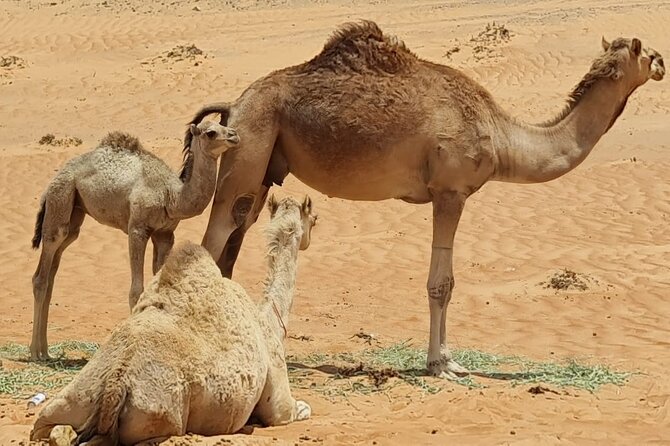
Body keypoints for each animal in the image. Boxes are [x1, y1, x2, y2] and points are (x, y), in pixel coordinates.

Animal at [30, 121, 239, 361]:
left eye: (223, 125)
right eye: (210, 133)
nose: (234, 135)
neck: (172, 196)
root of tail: (50, 183)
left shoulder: (165, 235)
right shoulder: (137, 228)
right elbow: (136, 290)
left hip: (74, 214)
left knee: (53, 270)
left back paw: (46, 351)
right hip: (60, 198)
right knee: (42, 273)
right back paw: (36, 353)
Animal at [30, 195, 317, 445]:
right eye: (312, 218)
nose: (315, 222)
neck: (268, 321)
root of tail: (115, 384)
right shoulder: (279, 402)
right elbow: (300, 409)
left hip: (68, 401)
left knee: (52, 428)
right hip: (159, 419)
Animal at [186, 21, 665, 378]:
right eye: (643, 51)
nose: (662, 63)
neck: (503, 136)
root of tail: (234, 104)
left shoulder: (448, 193)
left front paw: (448, 359)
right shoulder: (450, 192)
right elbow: (442, 283)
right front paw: (441, 364)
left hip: (263, 169)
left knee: (234, 238)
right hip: (249, 147)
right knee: (215, 237)